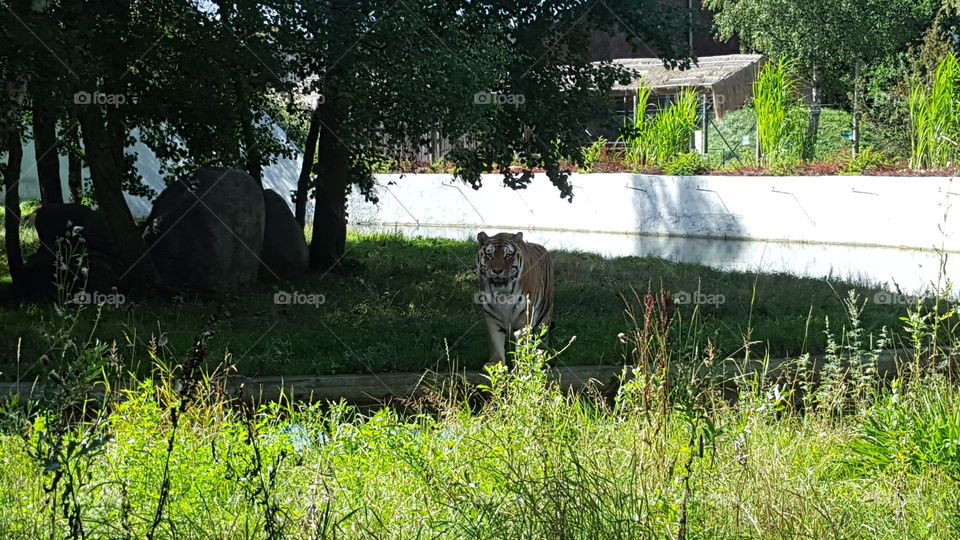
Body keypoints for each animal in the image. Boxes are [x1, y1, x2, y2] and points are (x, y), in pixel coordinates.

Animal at [476, 231, 555, 366]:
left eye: (508, 255)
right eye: (489, 255)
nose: (497, 271)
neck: (503, 294)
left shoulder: (524, 318)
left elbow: (522, 345)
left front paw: (521, 365)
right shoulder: (491, 318)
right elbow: (495, 345)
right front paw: (495, 366)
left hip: (544, 315)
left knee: (542, 339)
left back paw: (540, 361)